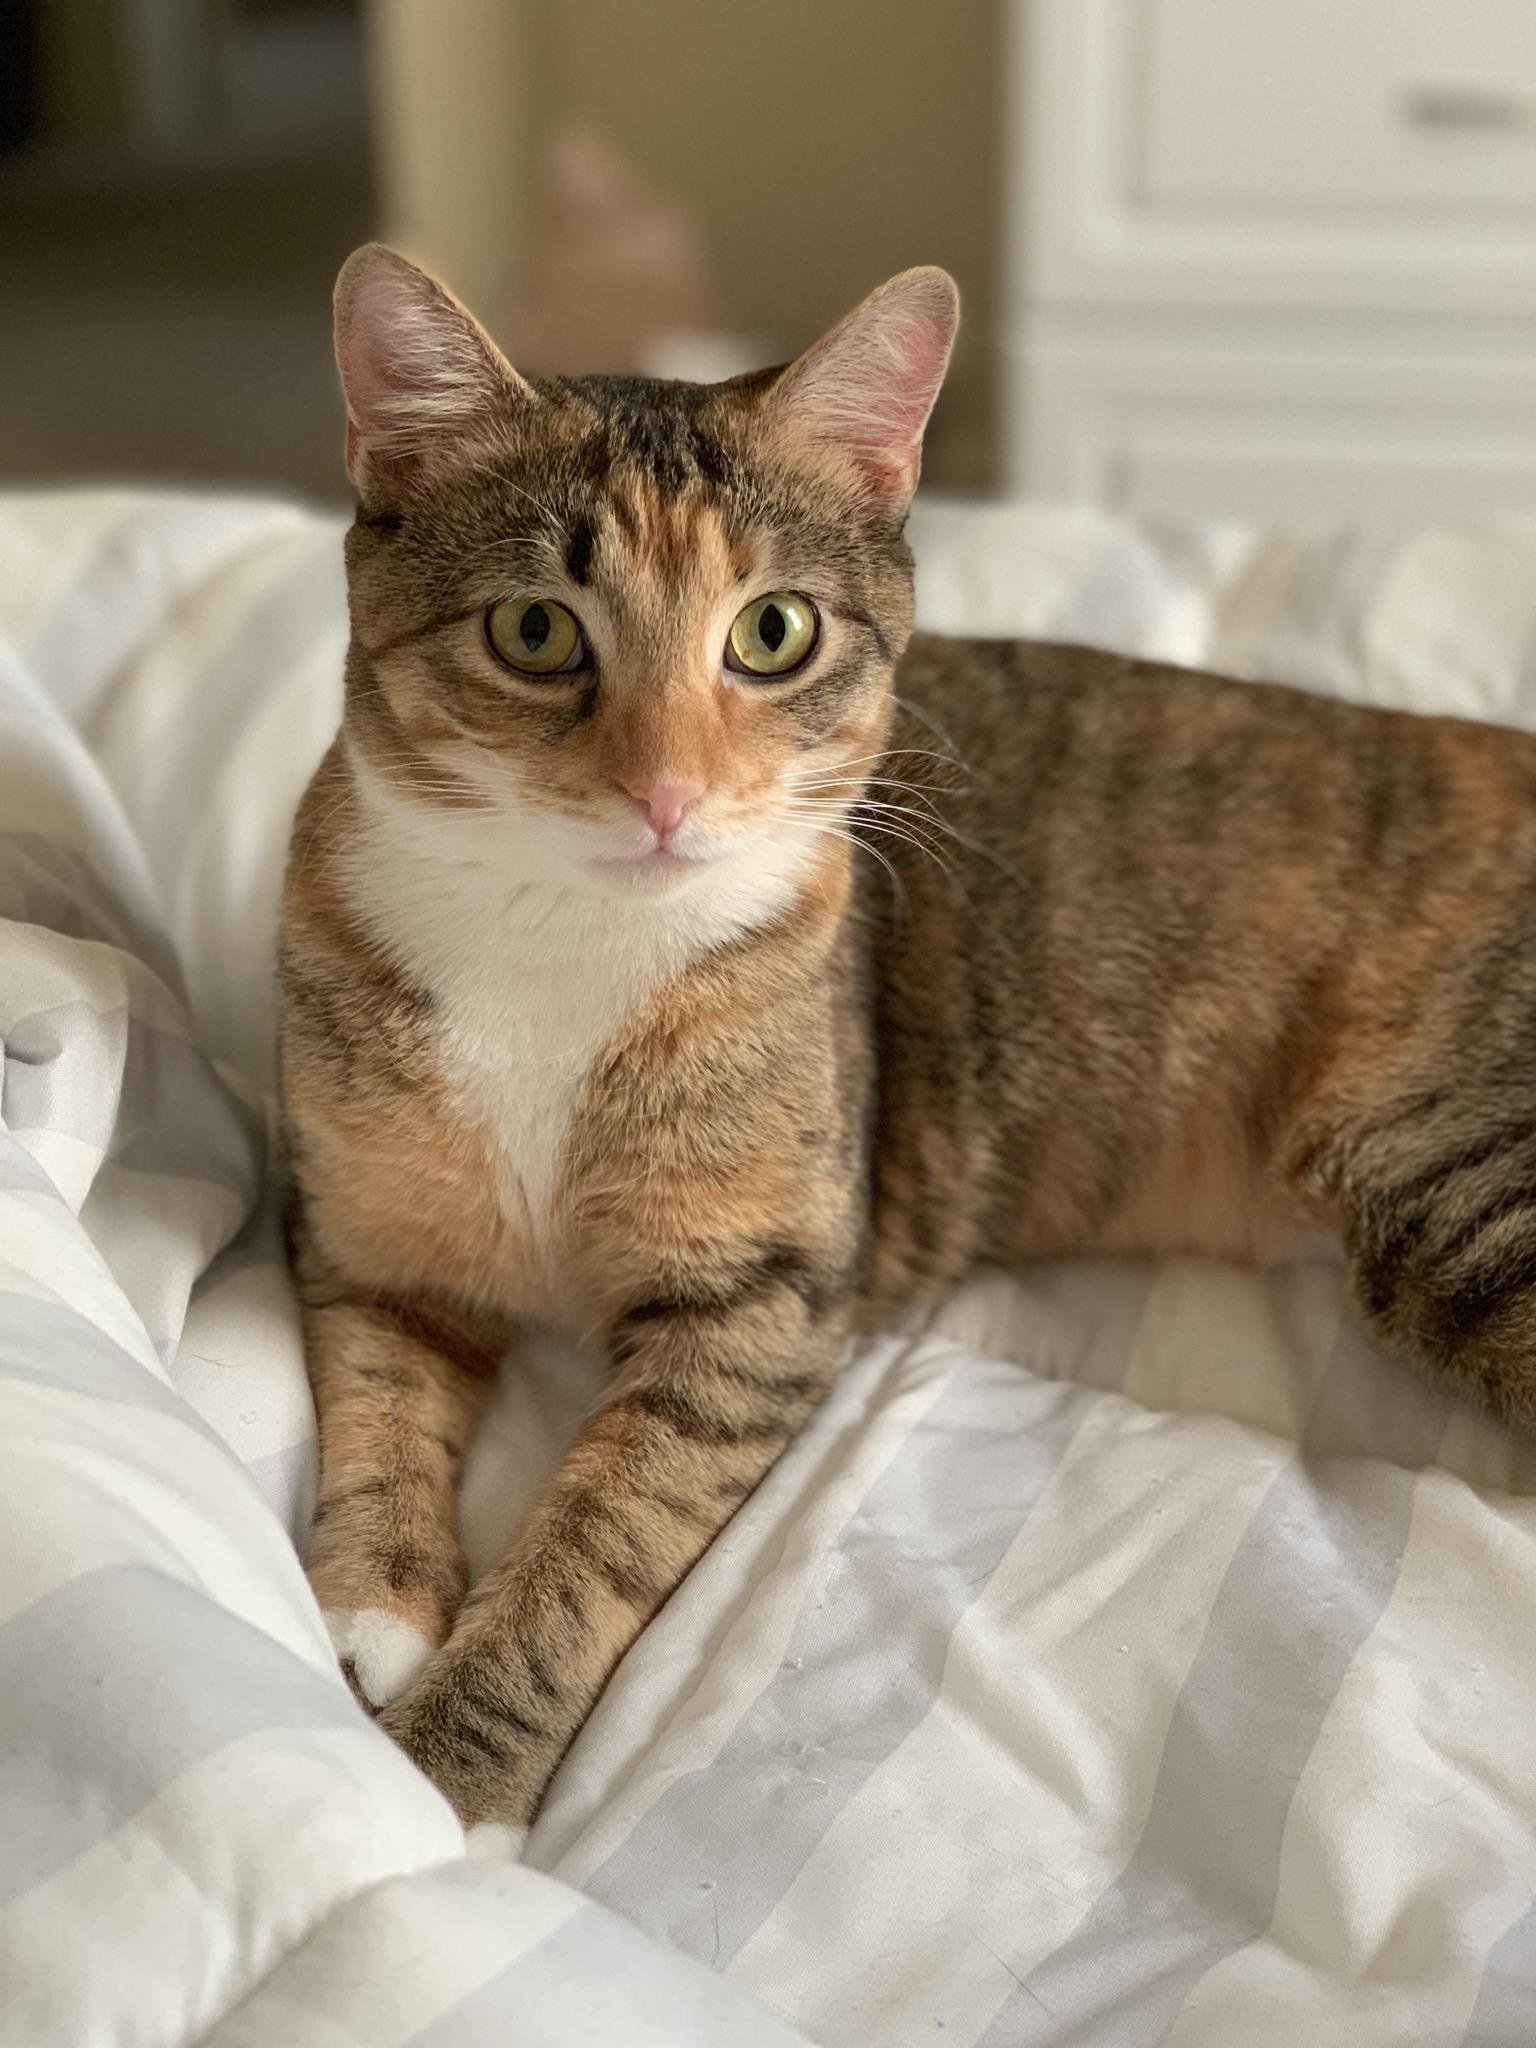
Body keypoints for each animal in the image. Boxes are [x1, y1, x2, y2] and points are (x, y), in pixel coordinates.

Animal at [282, 242, 1536, 1842]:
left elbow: (594, 1536)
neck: (565, 939)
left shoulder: (761, 1307)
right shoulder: (363, 1232)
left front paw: (450, 1767)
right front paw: (368, 1611)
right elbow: (378, 1397)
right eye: (533, 630)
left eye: (772, 631)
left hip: (1449, 1173)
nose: (666, 796)